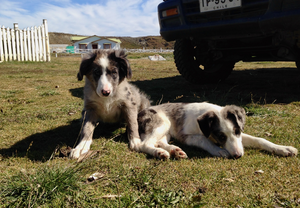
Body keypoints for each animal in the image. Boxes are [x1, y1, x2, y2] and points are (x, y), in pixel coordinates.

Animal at [137, 102, 296, 159]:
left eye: (237, 131)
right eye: (221, 136)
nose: (238, 155)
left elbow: (259, 139)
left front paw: (283, 149)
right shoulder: (185, 135)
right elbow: (203, 139)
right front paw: (218, 150)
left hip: (167, 131)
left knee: (160, 142)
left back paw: (175, 151)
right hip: (163, 123)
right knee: (144, 144)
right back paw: (159, 153)